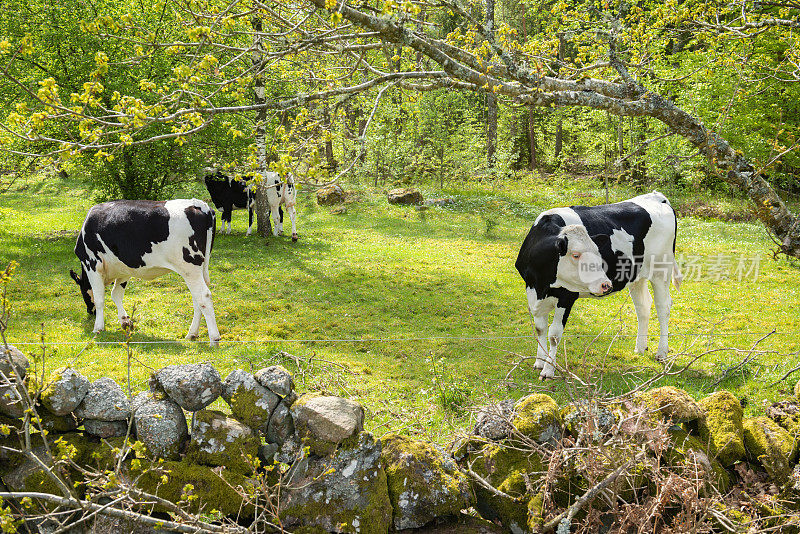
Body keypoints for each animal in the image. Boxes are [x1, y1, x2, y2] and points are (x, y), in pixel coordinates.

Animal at [67, 201, 219, 348]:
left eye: (82, 292)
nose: (89, 312)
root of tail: (199, 205)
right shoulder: (125, 269)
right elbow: (116, 294)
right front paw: (125, 321)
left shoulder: (92, 264)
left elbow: (99, 299)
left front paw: (98, 327)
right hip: (198, 270)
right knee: (197, 299)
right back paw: (192, 334)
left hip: (189, 268)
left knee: (203, 296)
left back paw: (214, 339)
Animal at [520, 193, 680, 382]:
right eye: (575, 255)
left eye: (598, 252)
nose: (606, 284)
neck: (542, 283)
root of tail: (657, 196)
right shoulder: (533, 292)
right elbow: (540, 329)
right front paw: (539, 361)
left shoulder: (567, 296)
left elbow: (554, 334)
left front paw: (548, 370)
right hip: (636, 275)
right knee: (643, 306)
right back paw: (640, 347)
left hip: (661, 270)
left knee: (663, 307)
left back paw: (661, 352)